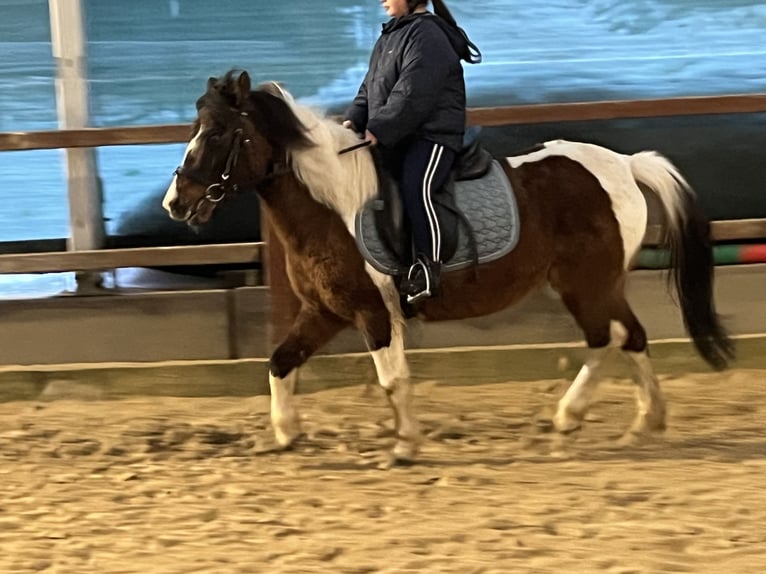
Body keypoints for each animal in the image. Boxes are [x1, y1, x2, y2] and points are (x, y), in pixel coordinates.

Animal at [162, 70, 733, 463]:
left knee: (609, 337)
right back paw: (642, 424)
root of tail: (625, 164)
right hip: (596, 284)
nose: (175, 203)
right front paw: (285, 433)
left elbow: (392, 381)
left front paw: (406, 446)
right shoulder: (324, 312)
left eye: (218, 134)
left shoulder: (373, 312)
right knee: (627, 336)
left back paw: (574, 417)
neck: (333, 205)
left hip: (585, 284)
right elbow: (280, 362)